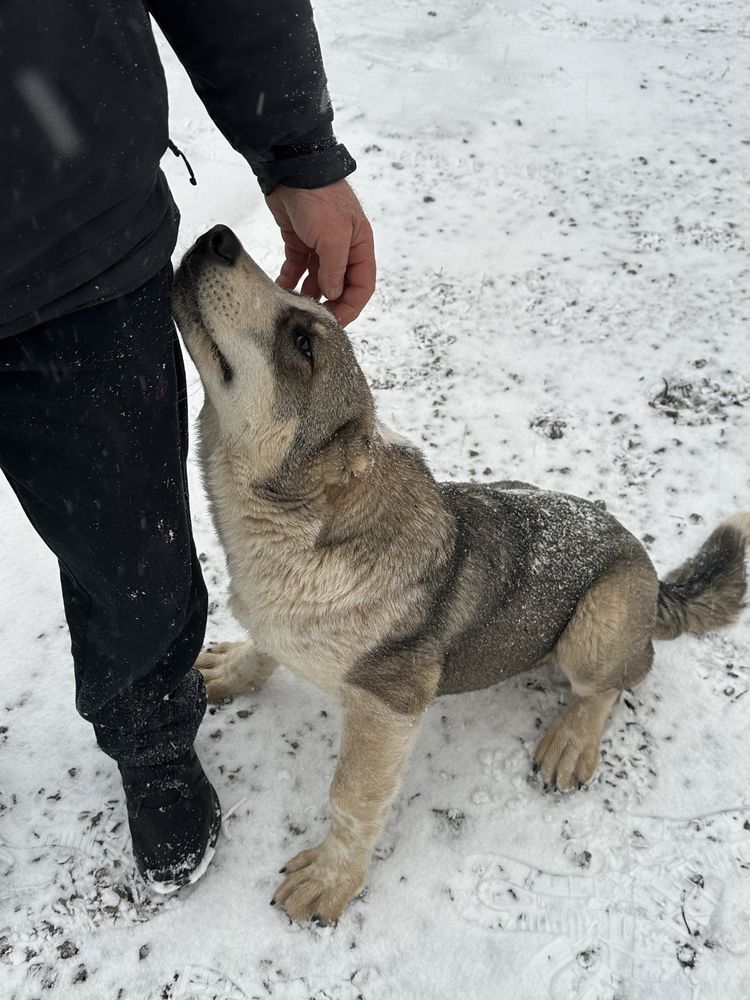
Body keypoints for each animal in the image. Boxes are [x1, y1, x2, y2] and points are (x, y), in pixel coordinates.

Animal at [172, 225, 750, 920]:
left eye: (303, 342)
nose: (217, 236)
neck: (295, 532)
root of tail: (654, 578)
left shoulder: (389, 703)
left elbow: (352, 796)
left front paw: (333, 879)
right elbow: (264, 648)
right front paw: (233, 669)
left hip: (595, 625)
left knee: (617, 680)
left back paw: (571, 740)